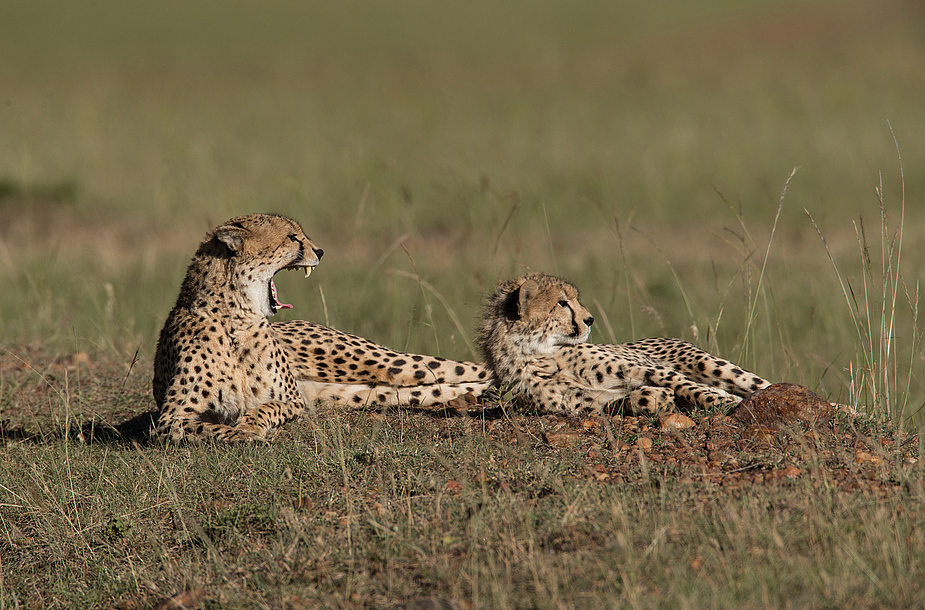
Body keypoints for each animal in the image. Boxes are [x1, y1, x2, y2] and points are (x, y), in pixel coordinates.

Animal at [153, 211, 490, 440]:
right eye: (292, 237)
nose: (320, 251)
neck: (237, 321)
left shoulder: (292, 400)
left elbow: (265, 407)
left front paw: (249, 425)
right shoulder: (169, 419)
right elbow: (203, 428)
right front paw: (240, 433)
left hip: (381, 363)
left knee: (467, 369)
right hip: (366, 393)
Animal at [476, 274, 772, 416]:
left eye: (574, 300)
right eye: (561, 303)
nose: (590, 319)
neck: (539, 355)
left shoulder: (649, 368)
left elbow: (684, 385)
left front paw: (721, 400)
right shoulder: (591, 403)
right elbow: (629, 401)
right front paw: (653, 397)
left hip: (706, 362)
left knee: (756, 383)